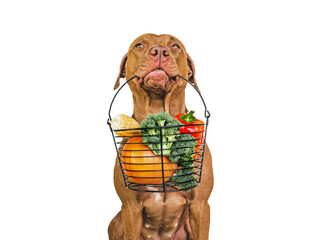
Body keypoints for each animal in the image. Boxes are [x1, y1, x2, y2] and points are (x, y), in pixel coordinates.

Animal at [109, 33, 214, 240]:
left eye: (175, 46)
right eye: (139, 45)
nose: (159, 51)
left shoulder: (200, 206)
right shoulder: (130, 208)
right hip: (115, 222)